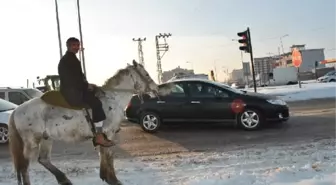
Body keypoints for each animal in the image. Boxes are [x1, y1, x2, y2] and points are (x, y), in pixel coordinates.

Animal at [8, 60, 159, 184]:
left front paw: (105, 176)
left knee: (43, 159)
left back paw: (64, 179)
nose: (156, 89)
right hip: (31, 141)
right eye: (146, 74)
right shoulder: (108, 133)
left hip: (46, 138)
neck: (112, 98)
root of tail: (17, 110)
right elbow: (108, 155)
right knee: (24, 166)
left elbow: (103, 154)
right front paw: (112, 179)